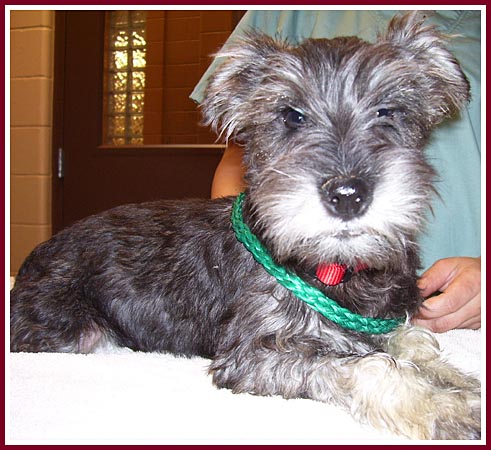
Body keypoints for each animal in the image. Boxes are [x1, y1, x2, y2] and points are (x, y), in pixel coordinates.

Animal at [10, 11, 480, 440]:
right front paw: (444, 406)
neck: (334, 268)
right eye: (292, 116)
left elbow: (413, 341)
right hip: (70, 331)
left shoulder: (382, 320)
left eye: (389, 111)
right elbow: (369, 365)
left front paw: (454, 379)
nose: (348, 194)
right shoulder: (255, 356)